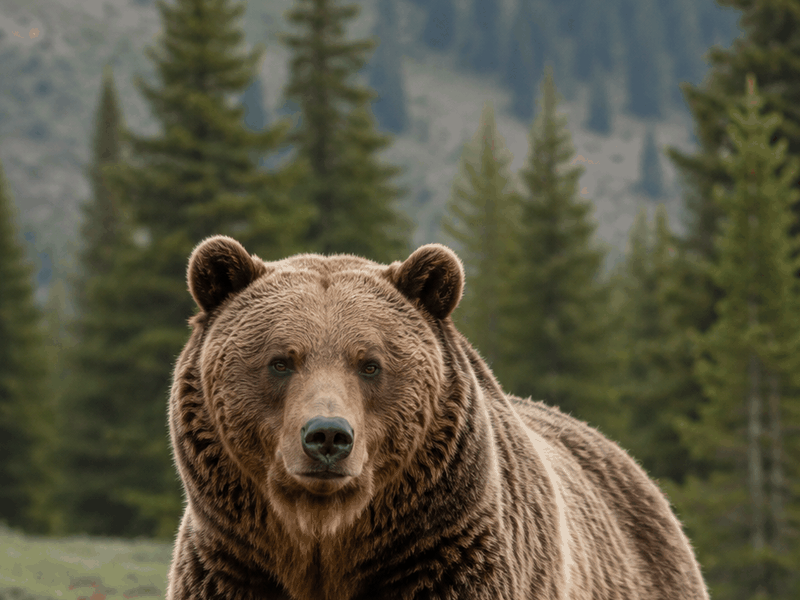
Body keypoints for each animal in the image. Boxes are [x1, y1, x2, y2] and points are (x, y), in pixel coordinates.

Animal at [166, 234, 709, 600]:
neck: (326, 539)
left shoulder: (447, 558)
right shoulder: (234, 567)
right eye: (281, 361)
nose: (327, 436)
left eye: (370, 363)